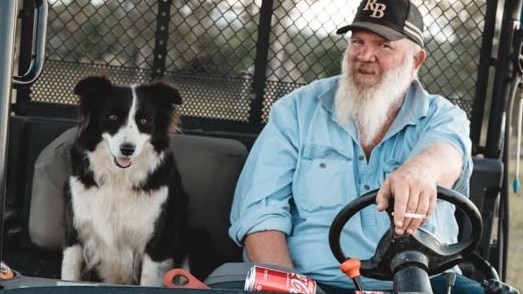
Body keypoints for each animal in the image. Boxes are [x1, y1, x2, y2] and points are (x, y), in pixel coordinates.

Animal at [62, 74, 188, 286]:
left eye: (144, 120)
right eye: (112, 117)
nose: (127, 149)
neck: (118, 178)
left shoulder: (158, 243)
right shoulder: (75, 231)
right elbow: (69, 274)